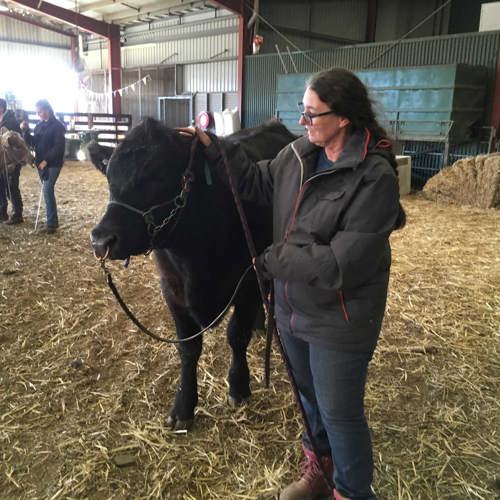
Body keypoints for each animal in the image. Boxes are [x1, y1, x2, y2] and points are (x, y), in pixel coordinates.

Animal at [89, 120, 296, 430]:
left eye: (158, 176)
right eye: (109, 178)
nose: (101, 240)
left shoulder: (247, 280)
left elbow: (237, 336)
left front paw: (238, 387)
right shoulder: (172, 291)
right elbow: (188, 349)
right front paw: (183, 406)